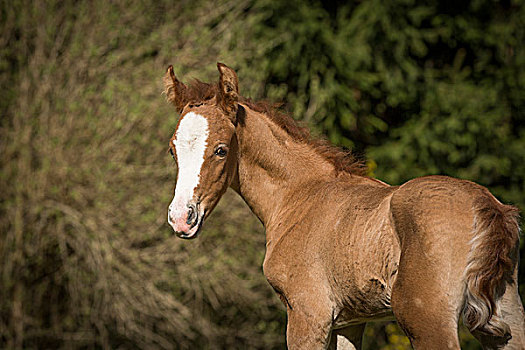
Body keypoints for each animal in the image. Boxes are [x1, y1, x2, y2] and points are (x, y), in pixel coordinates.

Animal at [164, 63, 524, 350]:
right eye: (172, 149)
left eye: (221, 150)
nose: (181, 218)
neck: (299, 196)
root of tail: (486, 205)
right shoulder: (351, 322)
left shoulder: (307, 315)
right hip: (506, 319)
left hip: (426, 321)